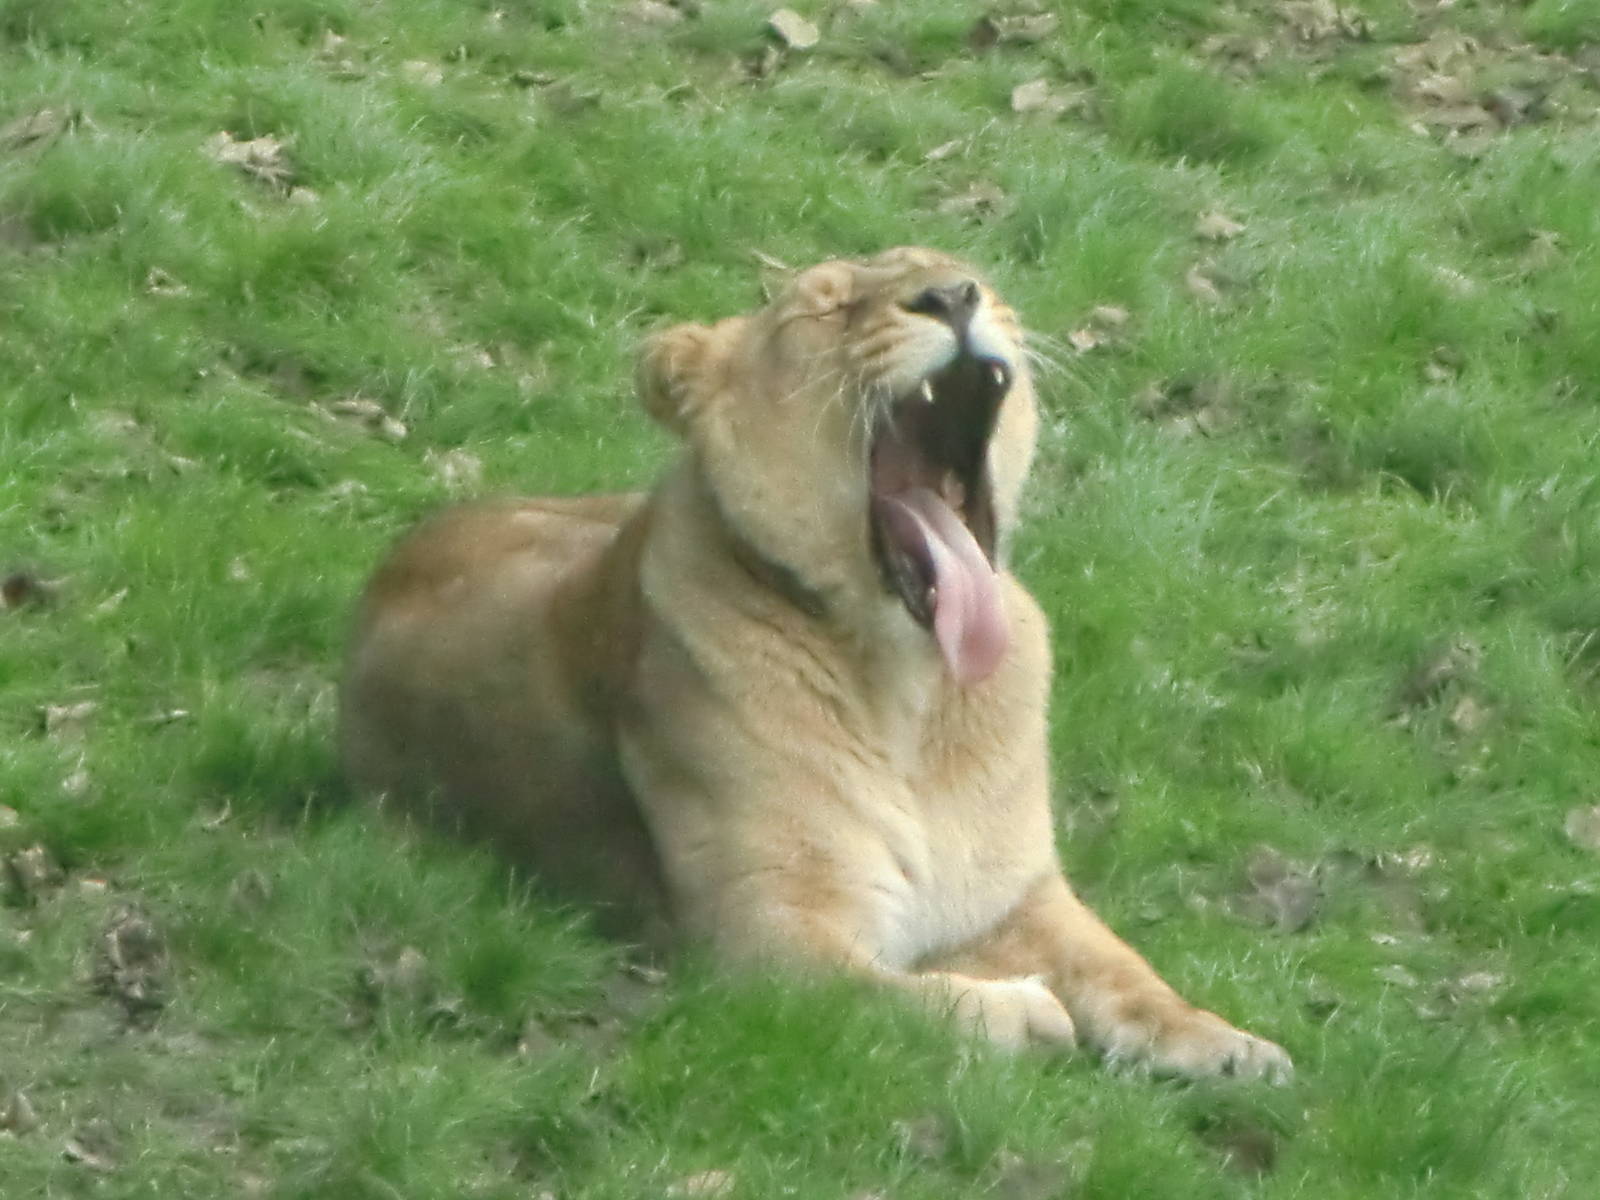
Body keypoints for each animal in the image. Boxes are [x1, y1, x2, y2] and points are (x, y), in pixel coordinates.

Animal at [340, 248, 1291, 1079]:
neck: (916, 693)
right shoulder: (755, 945)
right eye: (826, 309)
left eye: (960, 267)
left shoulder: (1015, 895)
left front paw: (1229, 1046)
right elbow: (906, 1001)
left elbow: (1122, 968)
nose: (954, 297)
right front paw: (1025, 1012)